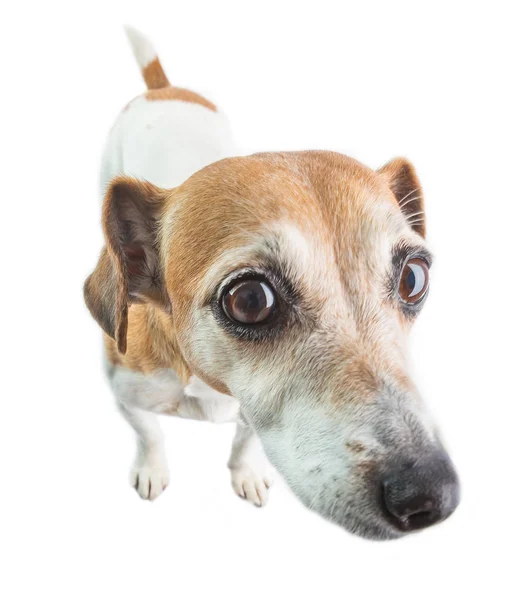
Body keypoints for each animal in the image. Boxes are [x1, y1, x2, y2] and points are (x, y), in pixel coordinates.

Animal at [82, 25, 456, 540]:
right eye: (250, 299)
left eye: (414, 278)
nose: (431, 494)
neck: (208, 385)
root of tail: (163, 88)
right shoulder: (127, 395)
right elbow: (150, 433)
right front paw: (152, 467)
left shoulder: (248, 419)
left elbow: (245, 442)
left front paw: (247, 473)